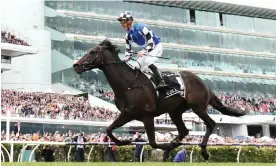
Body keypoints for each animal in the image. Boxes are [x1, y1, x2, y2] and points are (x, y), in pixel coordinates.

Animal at [72, 39, 247, 161]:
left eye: (92, 52)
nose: (76, 65)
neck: (128, 84)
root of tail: (204, 83)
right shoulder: (127, 113)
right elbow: (108, 130)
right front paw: (124, 141)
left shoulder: (147, 116)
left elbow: (153, 143)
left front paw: (166, 146)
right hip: (175, 111)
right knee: (184, 130)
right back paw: (173, 146)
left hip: (198, 107)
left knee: (211, 124)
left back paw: (203, 151)